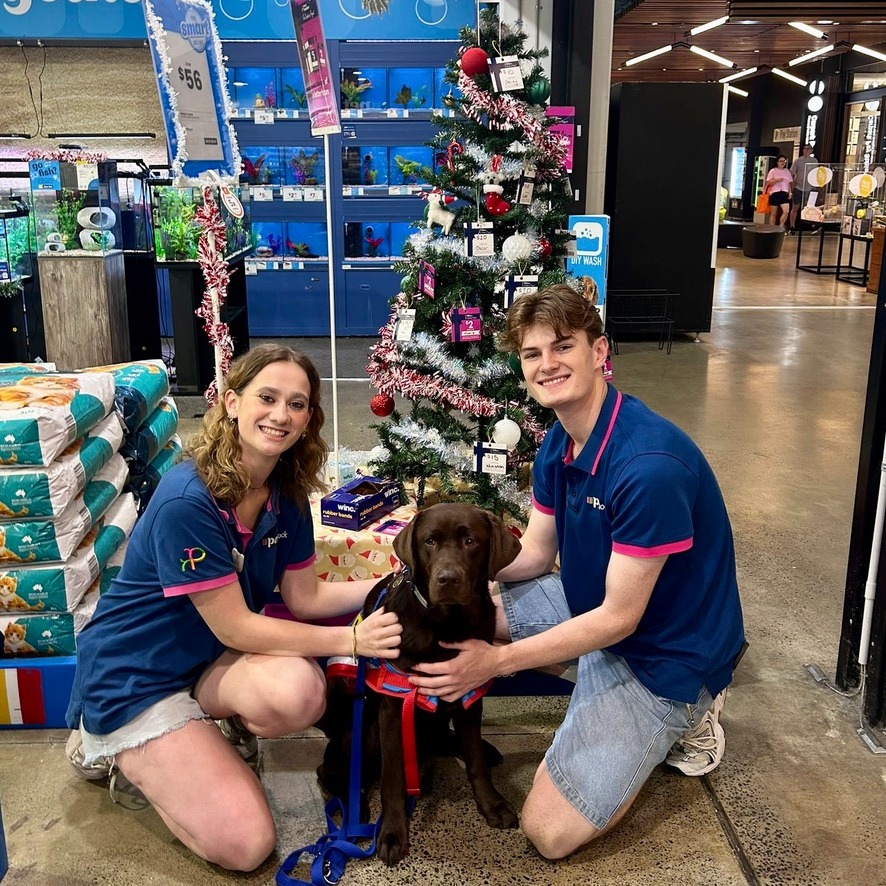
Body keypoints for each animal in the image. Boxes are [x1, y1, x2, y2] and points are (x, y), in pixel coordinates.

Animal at [317, 502, 522, 866]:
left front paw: (492, 803)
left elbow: (476, 763)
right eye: (429, 541)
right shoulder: (394, 706)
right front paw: (392, 832)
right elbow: (393, 777)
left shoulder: (469, 693)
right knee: (335, 771)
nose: (448, 578)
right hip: (362, 728)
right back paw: (355, 806)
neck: (447, 626)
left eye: (471, 541)